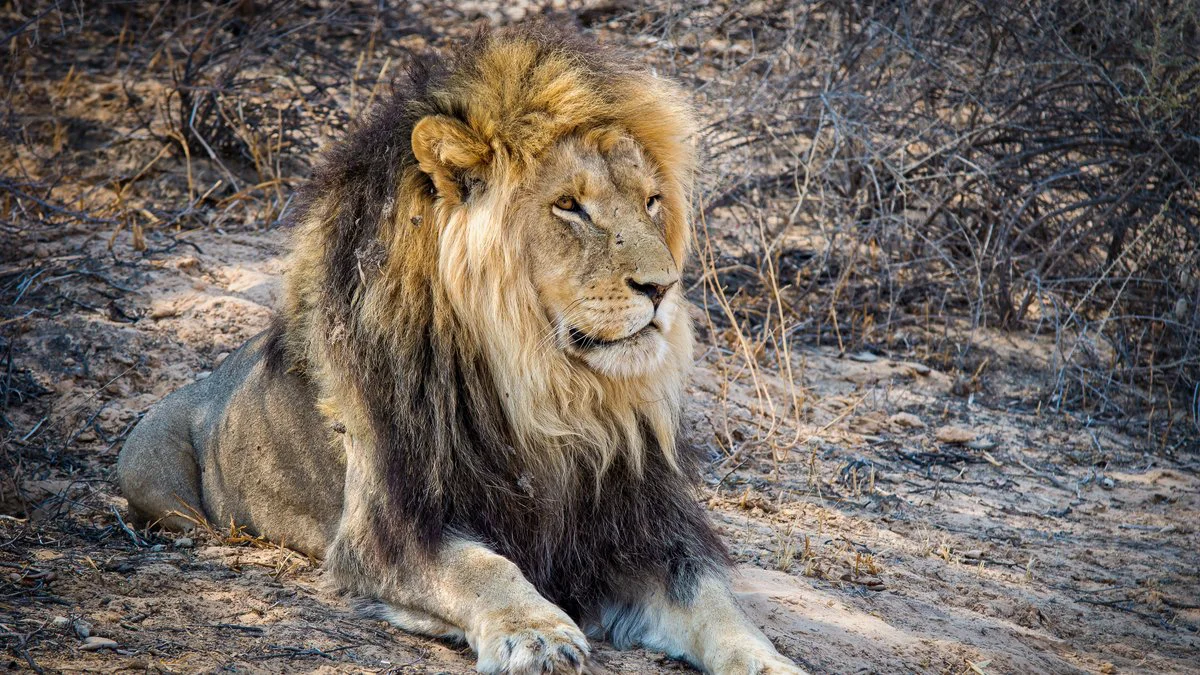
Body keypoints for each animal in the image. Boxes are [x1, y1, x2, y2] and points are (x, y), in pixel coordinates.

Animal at [117, 24, 803, 675]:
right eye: (569, 205)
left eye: (652, 201)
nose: (663, 287)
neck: (550, 395)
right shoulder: (392, 527)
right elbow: (482, 567)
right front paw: (537, 634)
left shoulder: (639, 527)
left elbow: (715, 602)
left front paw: (769, 660)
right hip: (152, 474)